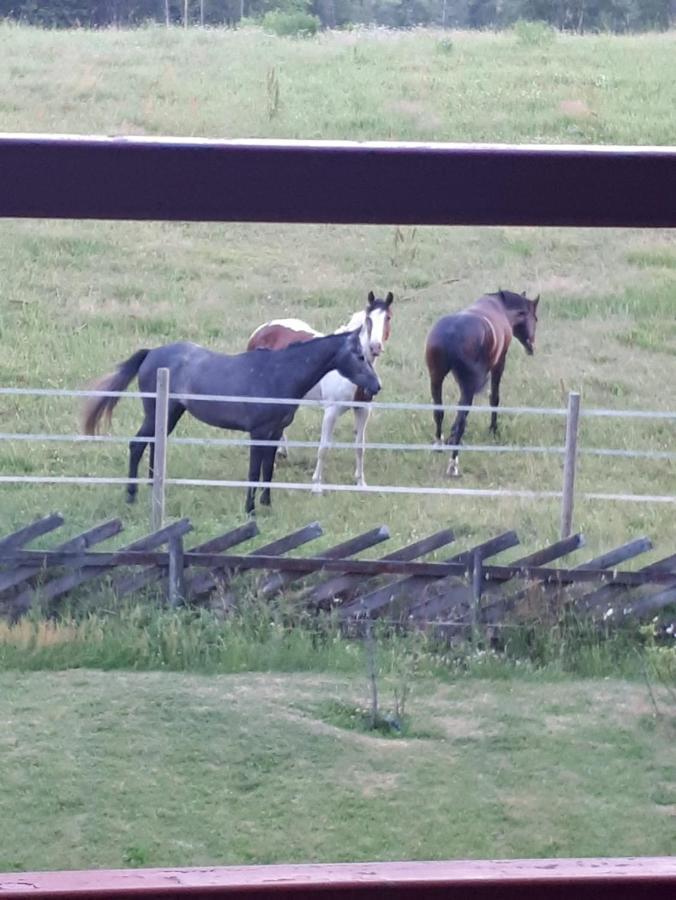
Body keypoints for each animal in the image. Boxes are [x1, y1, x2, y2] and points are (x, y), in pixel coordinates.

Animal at [82, 328, 380, 512]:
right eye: (359, 356)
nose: (375, 387)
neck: (278, 373)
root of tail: (151, 353)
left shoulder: (275, 433)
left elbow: (268, 470)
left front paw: (267, 504)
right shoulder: (258, 433)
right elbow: (253, 472)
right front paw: (250, 509)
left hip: (170, 414)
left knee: (153, 444)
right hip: (157, 413)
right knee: (136, 445)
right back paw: (131, 495)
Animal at [246, 292, 394, 492]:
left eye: (388, 317)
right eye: (368, 319)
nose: (375, 346)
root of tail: (260, 330)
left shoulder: (363, 410)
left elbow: (359, 447)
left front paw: (361, 483)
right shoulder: (331, 411)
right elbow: (323, 448)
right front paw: (316, 486)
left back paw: (281, 452)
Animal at [426, 292, 540, 478]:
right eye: (535, 318)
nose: (531, 346)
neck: (500, 308)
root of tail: (451, 333)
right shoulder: (499, 364)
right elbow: (494, 398)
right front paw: (493, 429)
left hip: (436, 379)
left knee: (439, 412)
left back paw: (440, 444)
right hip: (467, 386)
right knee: (461, 421)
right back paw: (453, 464)